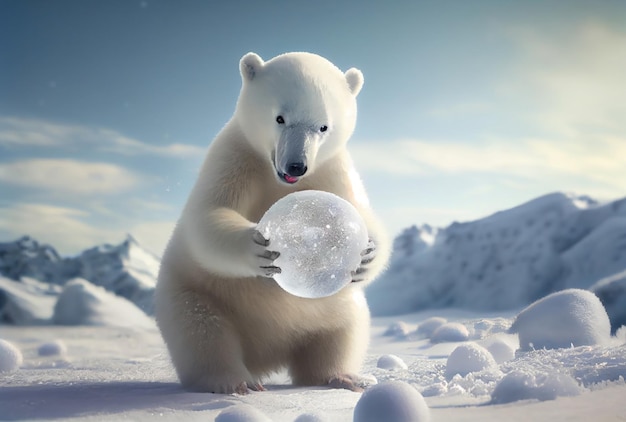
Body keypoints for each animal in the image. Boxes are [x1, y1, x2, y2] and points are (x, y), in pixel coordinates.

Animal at [154, 52, 388, 396]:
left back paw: (344, 377)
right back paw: (233, 381)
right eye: (280, 118)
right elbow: (208, 214)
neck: (278, 178)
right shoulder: (236, 157)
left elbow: (362, 210)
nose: (297, 165)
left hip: (331, 308)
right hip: (195, 293)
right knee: (202, 333)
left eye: (323, 126)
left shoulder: (332, 169)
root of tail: (266, 357)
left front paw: (368, 254)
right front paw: (259, 246)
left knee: (343, 331)